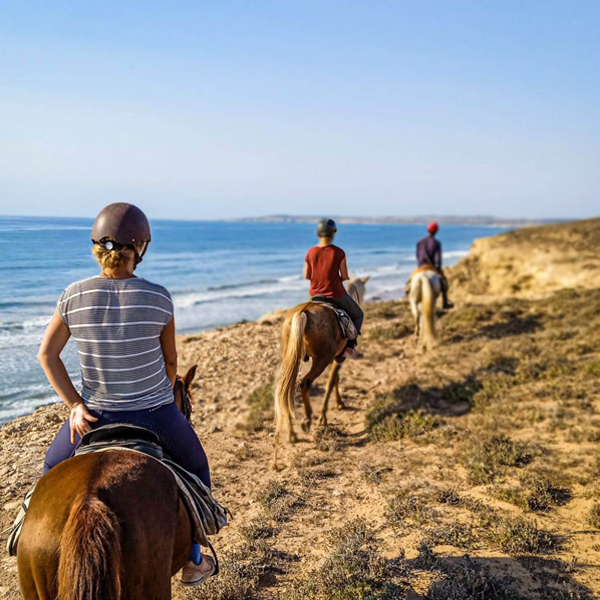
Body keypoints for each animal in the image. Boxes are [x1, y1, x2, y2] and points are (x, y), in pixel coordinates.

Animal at [276, 276, 368, 460]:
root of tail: (302, 313)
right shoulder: (340, 358)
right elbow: (332, 381)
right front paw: (325, 416)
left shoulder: (336, 358)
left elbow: (335, 379)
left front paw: (339, 403)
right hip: (321, 360)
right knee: (304, 383)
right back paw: (307, 420)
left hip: (292, 357)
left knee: (286, 388)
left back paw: (291, 433)